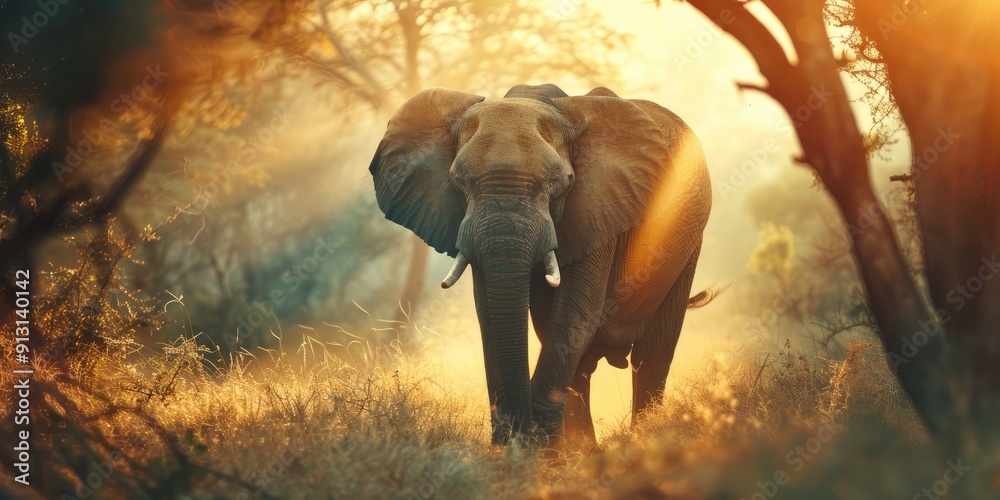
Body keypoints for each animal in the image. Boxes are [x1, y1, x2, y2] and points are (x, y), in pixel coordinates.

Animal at [368, 83, 712, 446]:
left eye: (559, 182)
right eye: (458, 182)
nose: (516, 435)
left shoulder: (600, 207)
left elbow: (576, 313)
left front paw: (539, 448)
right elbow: (490, 314)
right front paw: (528, 448)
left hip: (687, 245)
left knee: (652, 354)